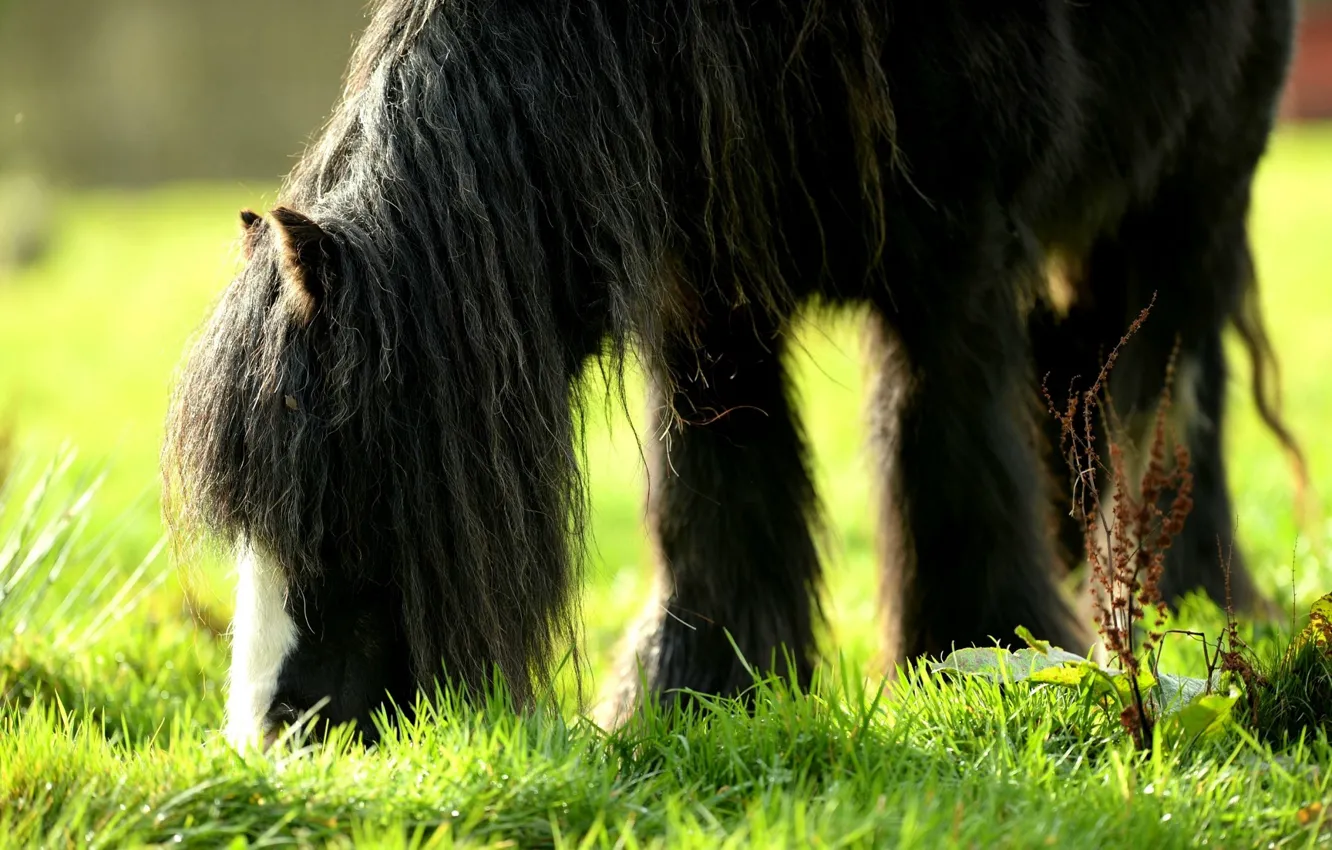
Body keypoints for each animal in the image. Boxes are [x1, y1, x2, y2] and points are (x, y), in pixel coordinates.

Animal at [166, 0, 1300, 746]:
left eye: (339, 494)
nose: (270, 735)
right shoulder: (704, 297)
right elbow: (714, 491)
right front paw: (698, 688)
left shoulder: (955, 257)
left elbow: (946, 457)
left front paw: (977, 655)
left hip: (1189, 198)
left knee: (1168, 395)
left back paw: (1185, 595)